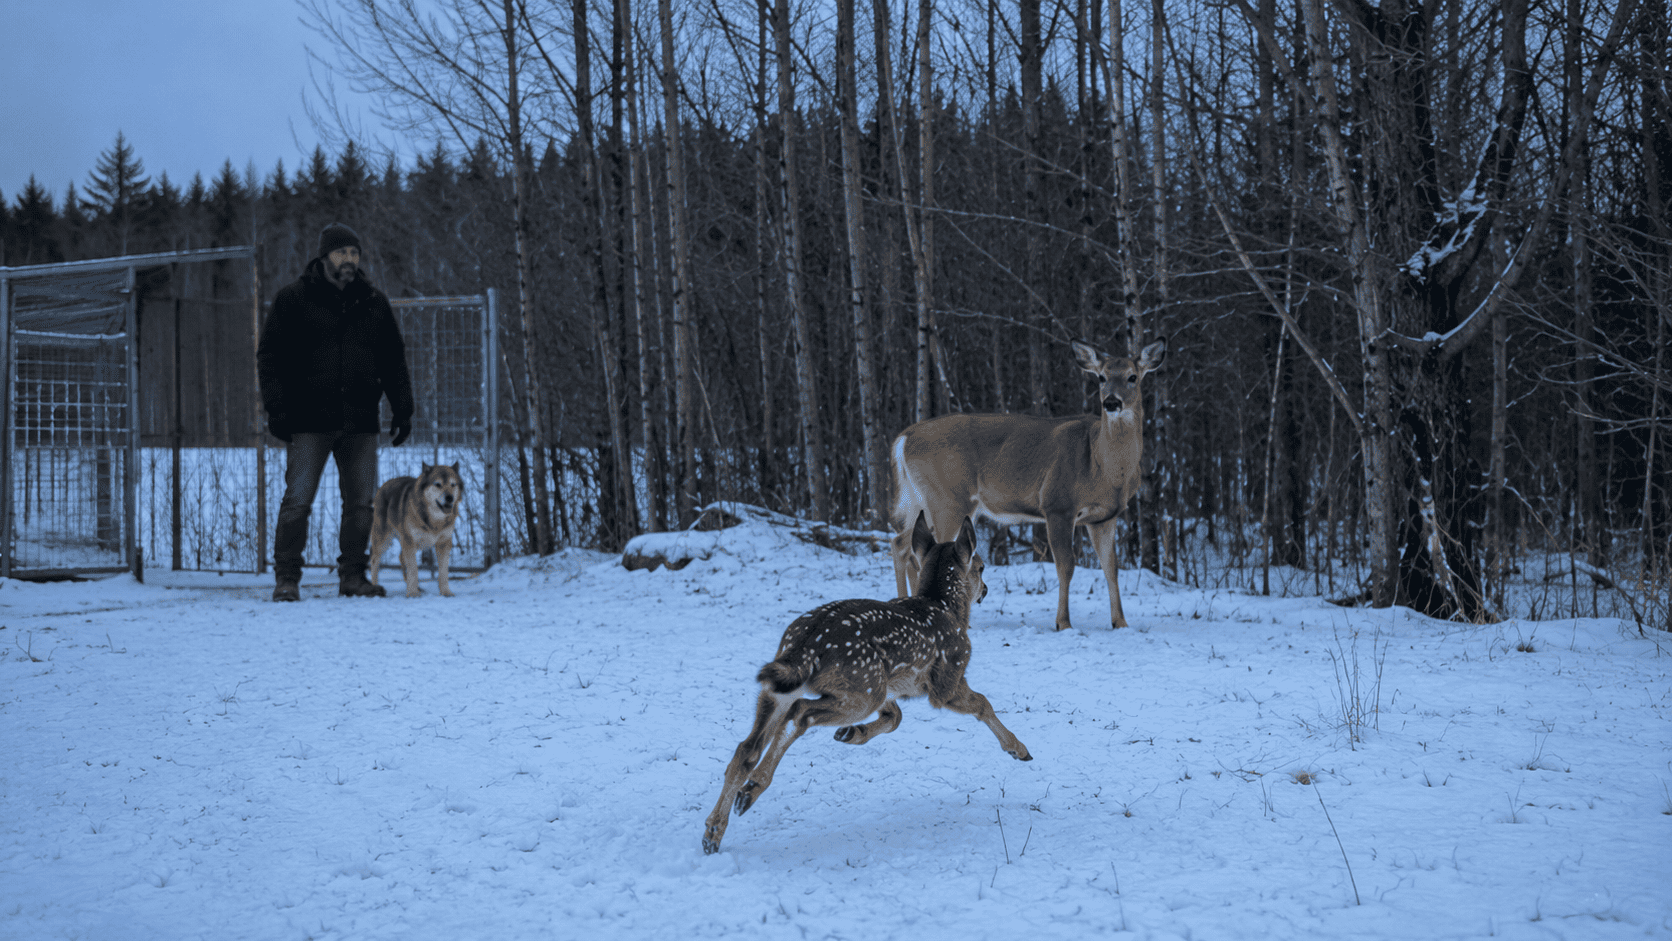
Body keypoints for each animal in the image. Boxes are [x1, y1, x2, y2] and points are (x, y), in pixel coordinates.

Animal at [701, 513, 1031, 855]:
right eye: (981, 567)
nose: (986, 589)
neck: (944, 606)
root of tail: (806, 644)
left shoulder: (891, 689)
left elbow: (895, 717)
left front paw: (851, 734)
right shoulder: (946, 681)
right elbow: (982, 703)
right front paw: (1018, 749)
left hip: (796, 687)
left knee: (747, 747)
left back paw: (713, 831)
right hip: (861, 686)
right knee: (801, 713)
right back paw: (751, 790)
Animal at [890, 337, 1167, 631]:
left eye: (1132, 376)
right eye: (1101, 377)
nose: (1112, 402)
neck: (1103, 468)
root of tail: (904, 438)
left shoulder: (1104, 517)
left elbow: (1111, 568)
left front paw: (1120, 622)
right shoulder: (1057, 505)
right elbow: (1066, 566)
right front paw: (1063, 623)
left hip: (928, 500)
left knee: (902, 543)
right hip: (947, 498)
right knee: (929, 547)